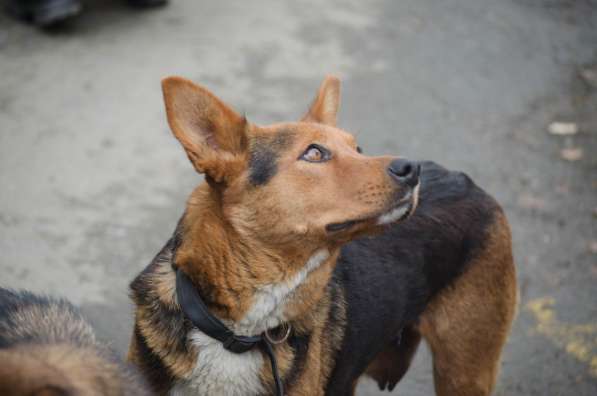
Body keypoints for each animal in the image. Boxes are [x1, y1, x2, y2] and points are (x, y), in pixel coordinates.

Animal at [127, 76, 516, 394]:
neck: (240, 332)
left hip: (465, 370)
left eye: (358, 150)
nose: (412, 168)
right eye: (314, 153)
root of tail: (464, 180)